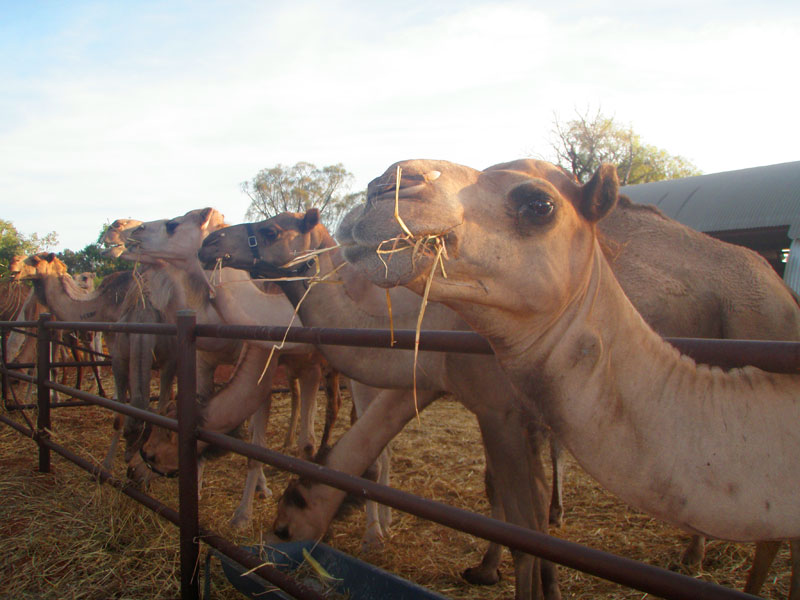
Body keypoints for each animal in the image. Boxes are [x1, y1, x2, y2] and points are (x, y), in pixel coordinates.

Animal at [342, 157, 800, 596]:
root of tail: (783, 294)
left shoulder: (499, 407)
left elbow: (516, 509)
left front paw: (491, 571)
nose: (385, 186)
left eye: (540, 205)